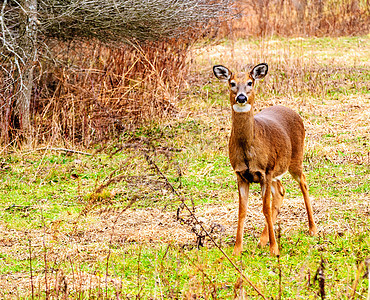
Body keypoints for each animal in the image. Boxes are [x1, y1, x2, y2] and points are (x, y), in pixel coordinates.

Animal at [214, 63, 318, 255]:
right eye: (232, 83)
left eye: (250, 82)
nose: (241, 97)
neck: (248, 150)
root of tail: (293, 111)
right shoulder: (240, 174)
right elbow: (242, 211)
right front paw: (237, 250)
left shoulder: (266, 171)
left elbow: (265, 209)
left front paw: (274, 249)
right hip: (278, 169)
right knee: (281, 191)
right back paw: (262, 240)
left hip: (295, 158)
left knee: (304, 183)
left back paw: (312, 229)